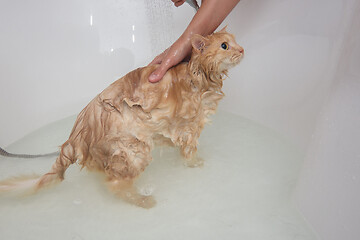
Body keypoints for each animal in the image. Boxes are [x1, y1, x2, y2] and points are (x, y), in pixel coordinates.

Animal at [0, 28, 243, 208]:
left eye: (235, 41)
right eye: (225, 46)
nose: (242, 50)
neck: (198, 76)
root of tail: (76, 135)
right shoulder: (189, 126)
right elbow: (189, 152)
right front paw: (195, 163)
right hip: (134, 151)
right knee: (115, 184)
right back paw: (144, 200)